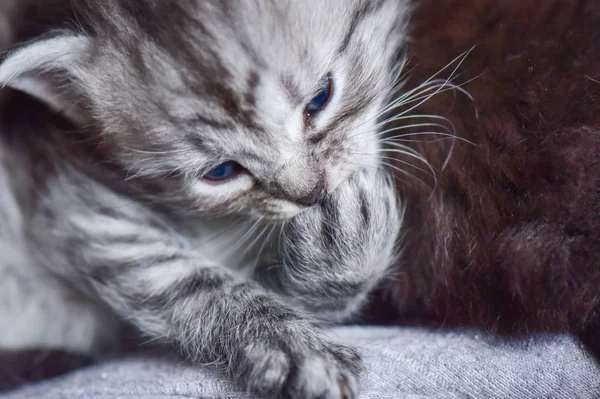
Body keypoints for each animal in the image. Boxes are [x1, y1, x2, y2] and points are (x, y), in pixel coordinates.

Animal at [0, 1, 408, 398]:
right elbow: (198, 283)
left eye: (320, 98)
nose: (310, 192)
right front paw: (292, 346)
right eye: (221, 172)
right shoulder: (82, 208)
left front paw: (351, 243)